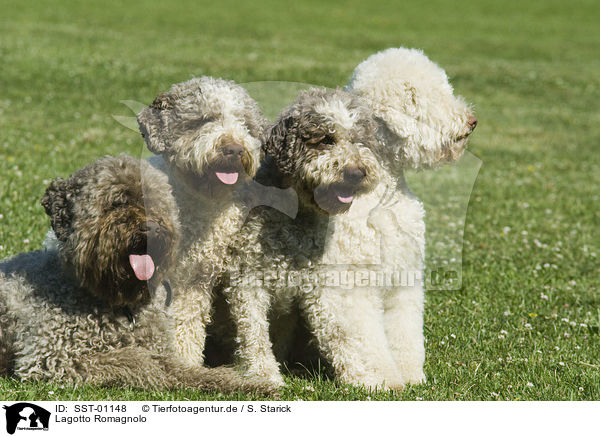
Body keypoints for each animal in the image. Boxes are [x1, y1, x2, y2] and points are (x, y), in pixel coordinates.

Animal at [0, 153, 272, 392]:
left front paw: (248, 384)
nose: (150, 227)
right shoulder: (55, 359)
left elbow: (186, 369)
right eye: (117, 201)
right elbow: (139, 361)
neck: (119, 304)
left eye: (154, 200)